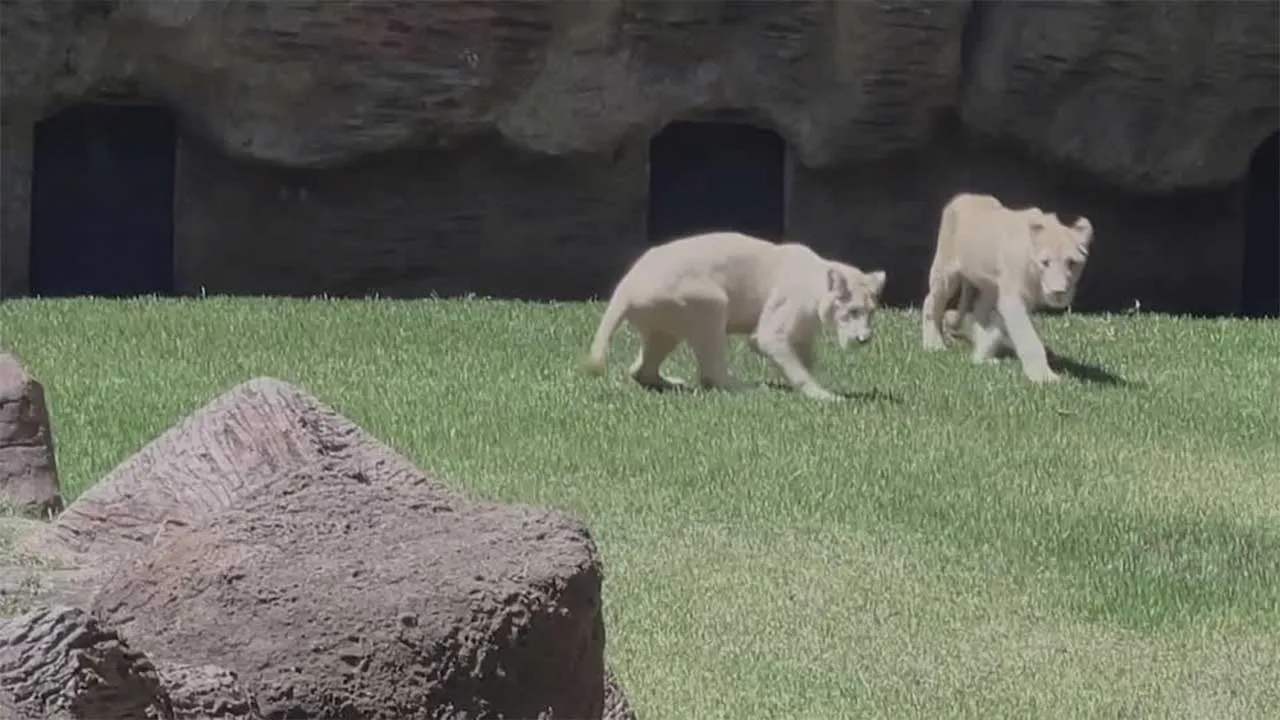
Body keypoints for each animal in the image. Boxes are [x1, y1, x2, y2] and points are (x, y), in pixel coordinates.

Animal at [582, 230, 887, 401]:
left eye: (871, 312)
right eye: (853, 311)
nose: (864, 339)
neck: (816, 278)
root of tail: (625, 285)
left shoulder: (804, 325)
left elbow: (802, 355)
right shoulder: (785, 304)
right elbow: (769, 341)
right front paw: (825, 395)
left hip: (662, 318)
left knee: (646, 361)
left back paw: (672, 382)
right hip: (705, 300)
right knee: (712, 364)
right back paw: (750, 390)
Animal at [920, 192, 1093, 383]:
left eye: (1072, 263)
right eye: (1045, 263)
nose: (1059, 292)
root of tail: (964, 196)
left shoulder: (1014, 299)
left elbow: (997, 328)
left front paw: (981, 358)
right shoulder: (1013, 298)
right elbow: (1028, 338)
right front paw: (1043, 377)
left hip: (988, 286)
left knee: (979, 313)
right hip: (946, 270)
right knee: (931, 301)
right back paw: (933, 344)